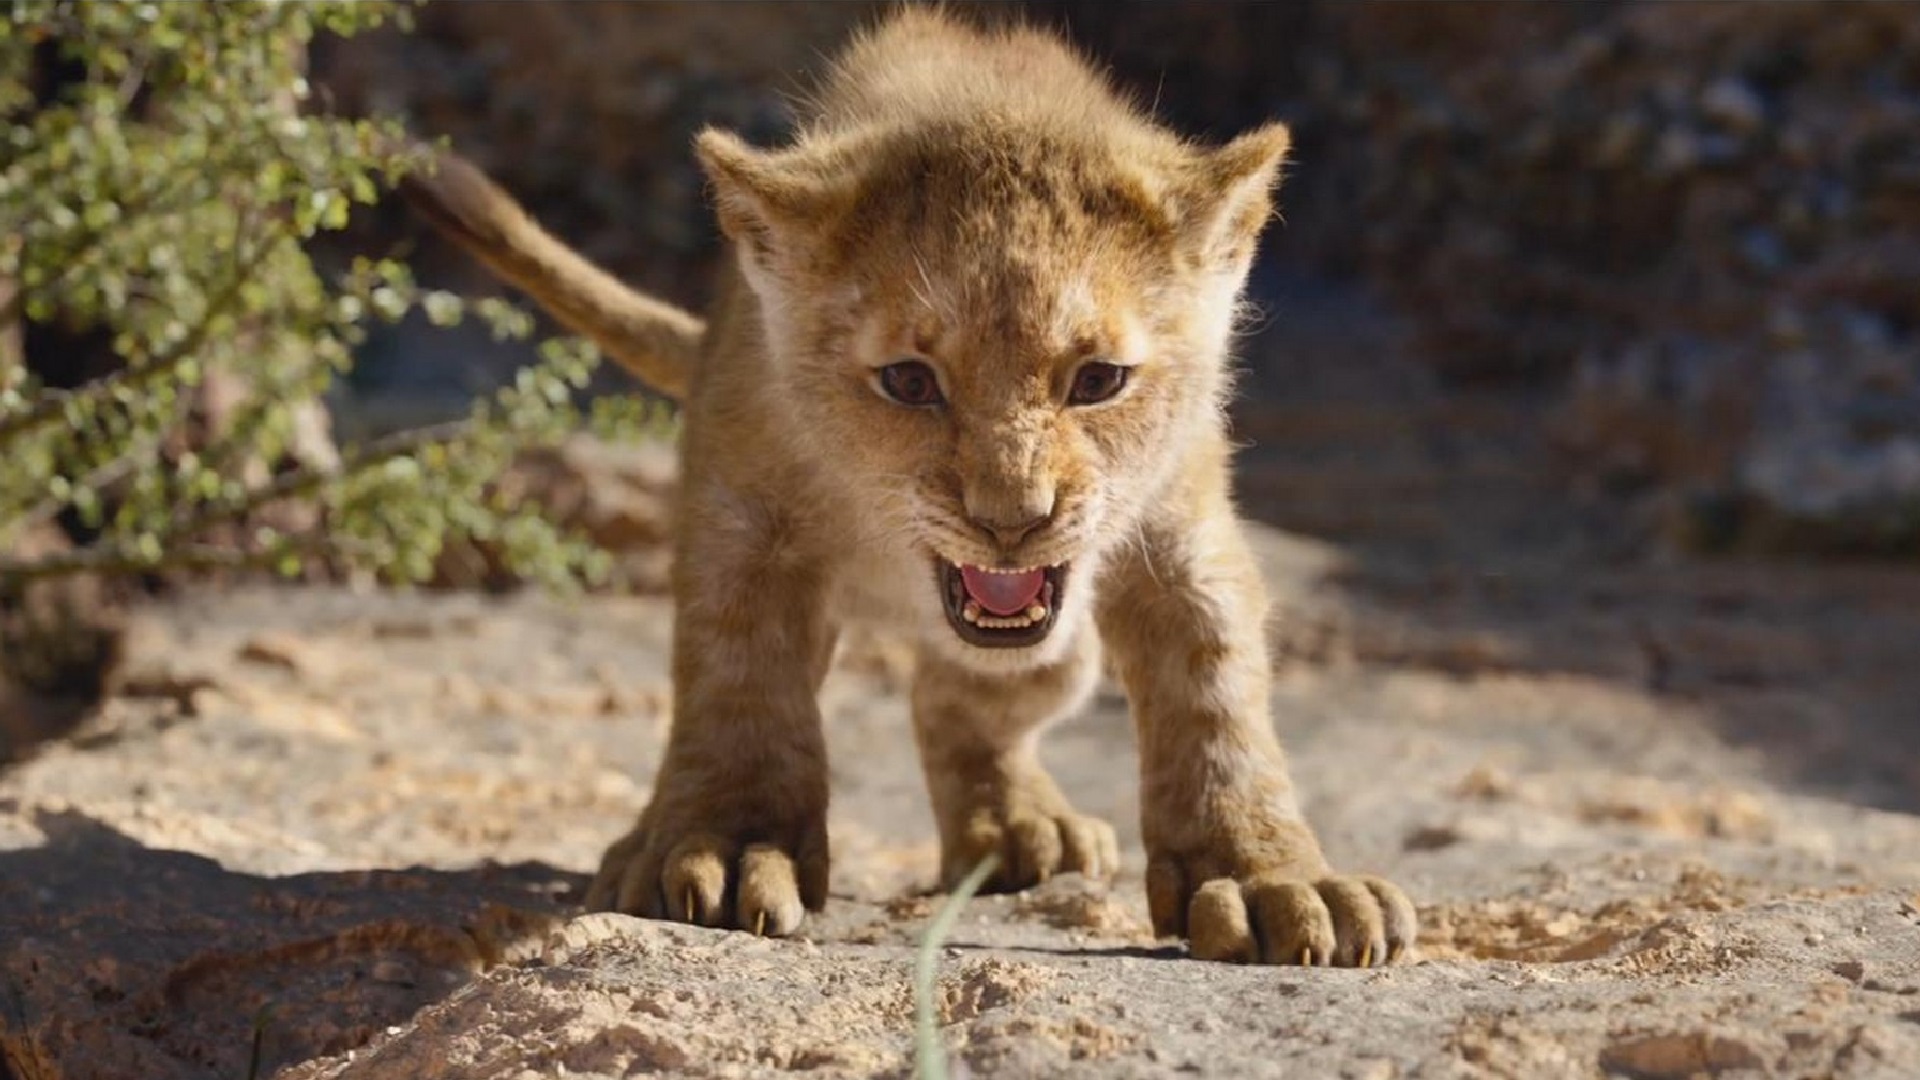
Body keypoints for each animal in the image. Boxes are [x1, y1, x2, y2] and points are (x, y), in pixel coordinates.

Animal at [400, 8, 1415, 966]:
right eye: (909, 382)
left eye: (1097, 380)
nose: (1012, 521)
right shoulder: (743, 518)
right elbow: (739, 680)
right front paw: (723, 846)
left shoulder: (1182, 531)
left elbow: (1217, 697)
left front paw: (1272, 877)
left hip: (1059, 653)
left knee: (961, 696)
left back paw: (1019, 827)